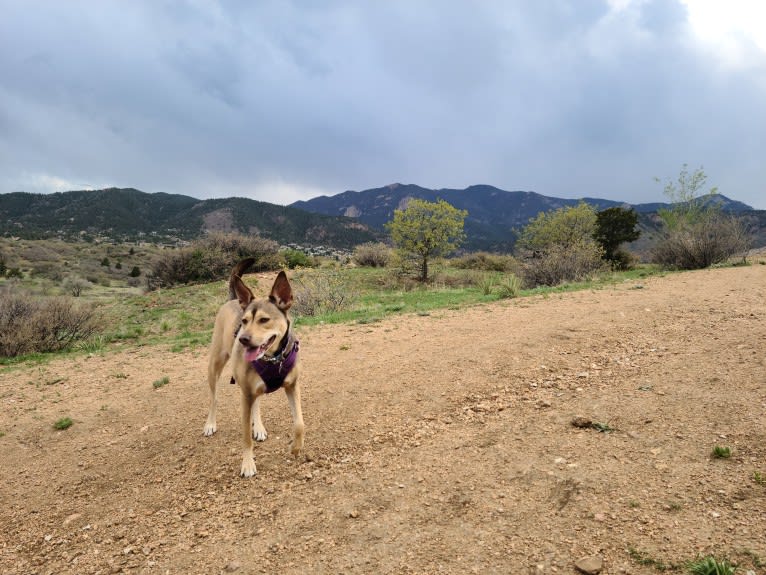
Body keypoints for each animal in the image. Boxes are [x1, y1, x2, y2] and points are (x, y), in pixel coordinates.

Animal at [206, 260, 304, 476]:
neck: (273, 359)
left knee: (256, 403)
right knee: (214, 398)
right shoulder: (245, 395)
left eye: (264, 320)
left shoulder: (292, 386)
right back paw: (210, 424)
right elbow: (245, 437)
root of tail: (234, 299)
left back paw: (258, 428)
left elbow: (299, 424)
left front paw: (295, 448)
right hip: (215, 365)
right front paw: (248, 464)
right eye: (244, 321)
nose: (243, 339)